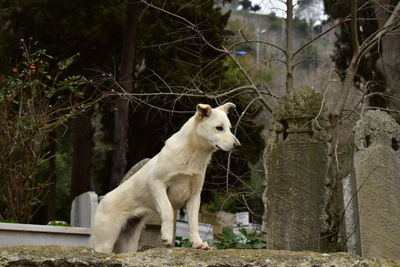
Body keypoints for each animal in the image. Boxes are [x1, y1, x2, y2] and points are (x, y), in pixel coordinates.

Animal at [90, 102, 241, 253]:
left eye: (229, 128)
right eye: (219, 128)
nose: (238, 145)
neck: (193, 155)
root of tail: (102, 200)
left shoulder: (194, 196)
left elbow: (193, 223)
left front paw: (198, 243)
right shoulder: (156, 183)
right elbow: (168, 210)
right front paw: (167, 236)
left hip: (129, 244)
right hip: (104, 242)